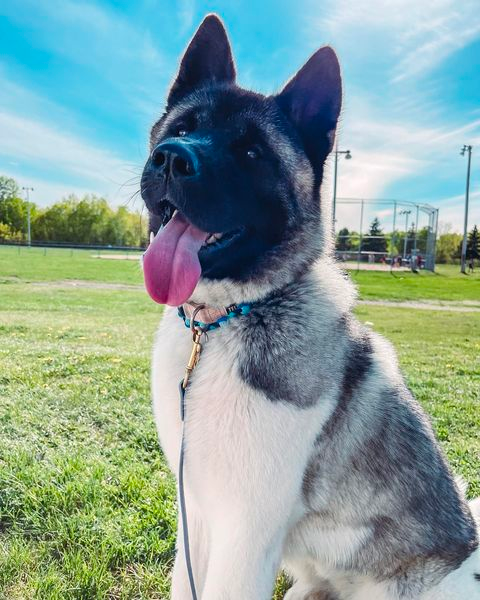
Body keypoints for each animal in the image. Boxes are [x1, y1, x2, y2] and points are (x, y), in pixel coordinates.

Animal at [142, 14, 480, 600]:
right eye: (182, 127)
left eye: (251, 153)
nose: (171, 158)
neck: (217, 326)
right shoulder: (198, 516)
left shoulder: (244, 533)